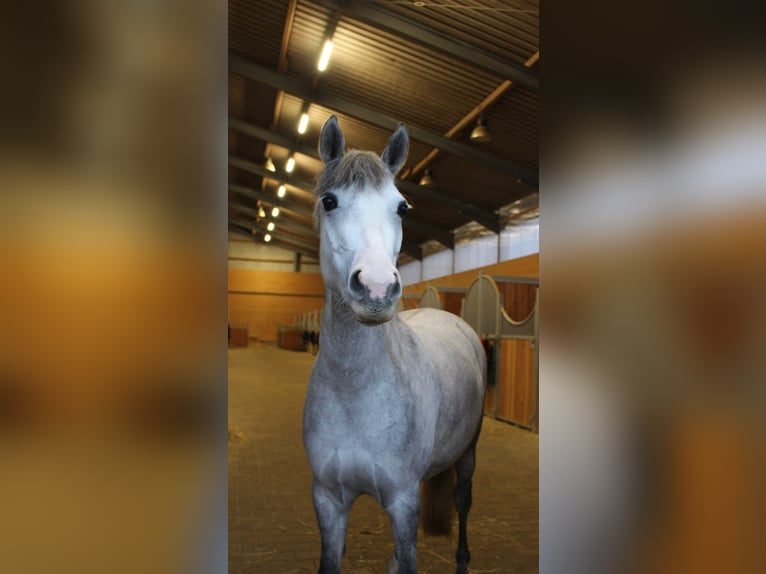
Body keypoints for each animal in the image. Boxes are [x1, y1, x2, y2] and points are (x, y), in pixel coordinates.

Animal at [302, 117, 486, 574]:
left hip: (468, 454)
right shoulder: (328, 500)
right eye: (329, 201)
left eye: (402, 207)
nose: (377, 288)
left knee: (462, 500)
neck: (356, 393)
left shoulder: (402, 501)